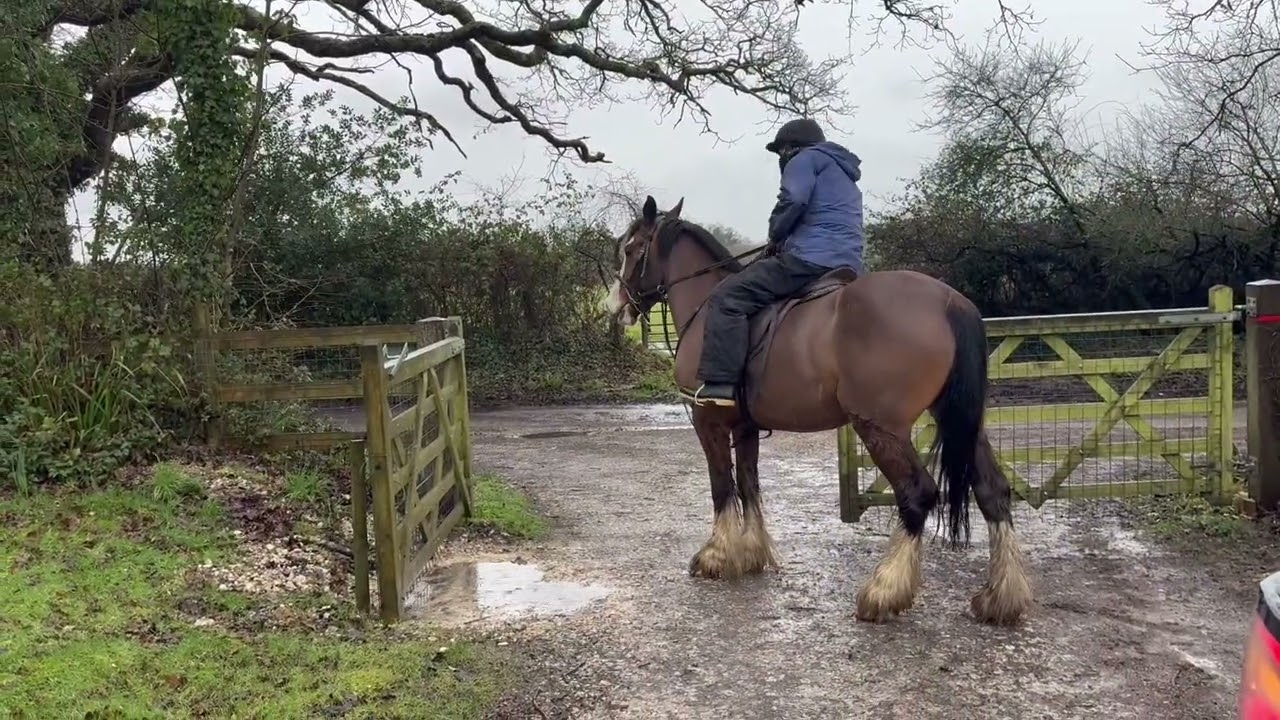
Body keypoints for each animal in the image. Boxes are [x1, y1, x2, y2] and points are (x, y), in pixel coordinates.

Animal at [606, 195, 1032, 625]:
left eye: (631, 249)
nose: (616, 305)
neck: (707, 305)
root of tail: (949, 301)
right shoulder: (744, 427)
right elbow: (748, 484)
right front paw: (752, 552)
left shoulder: (708, 420)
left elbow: (721, 486)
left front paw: (717, 555)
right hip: (959, 422)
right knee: (993, 490)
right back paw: (1001, 596)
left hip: (881, 428)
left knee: (918, 493)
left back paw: (884, 590)